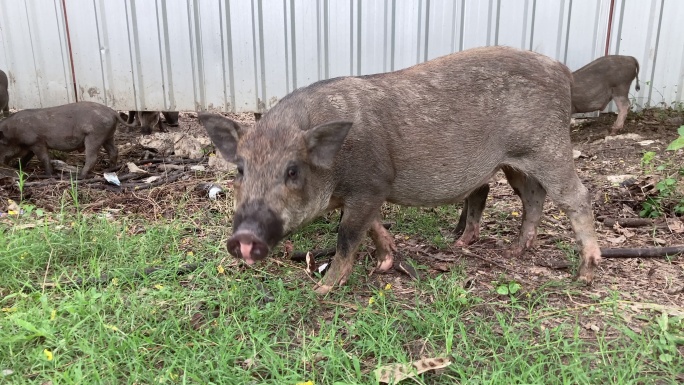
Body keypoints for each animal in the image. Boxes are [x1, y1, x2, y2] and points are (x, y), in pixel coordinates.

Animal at [0, 100, 135, 176]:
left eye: (1, 144)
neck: (13, 133)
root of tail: (112, 112)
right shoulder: (31, 145)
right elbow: (26, 158)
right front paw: (17, 167)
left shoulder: (37, 142)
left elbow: (43, 158)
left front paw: (49, 175)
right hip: (108, 136)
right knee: (114, 151)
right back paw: (110, 168)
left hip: (94, 136)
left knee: (92, 157)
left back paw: (80, 176)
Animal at [200, 46, 600, 296]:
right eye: (240, 169)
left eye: (293, 171)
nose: (244, 237)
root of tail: (563, 71)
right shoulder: (369, 193)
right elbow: (373, 227)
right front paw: (385, 263)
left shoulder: (371, 184)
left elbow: (348, 235)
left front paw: (322, 289)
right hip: (514, 163)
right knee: (533, 198)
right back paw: (511, 252)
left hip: (549, 147)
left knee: (577, 195)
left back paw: (584, 275)